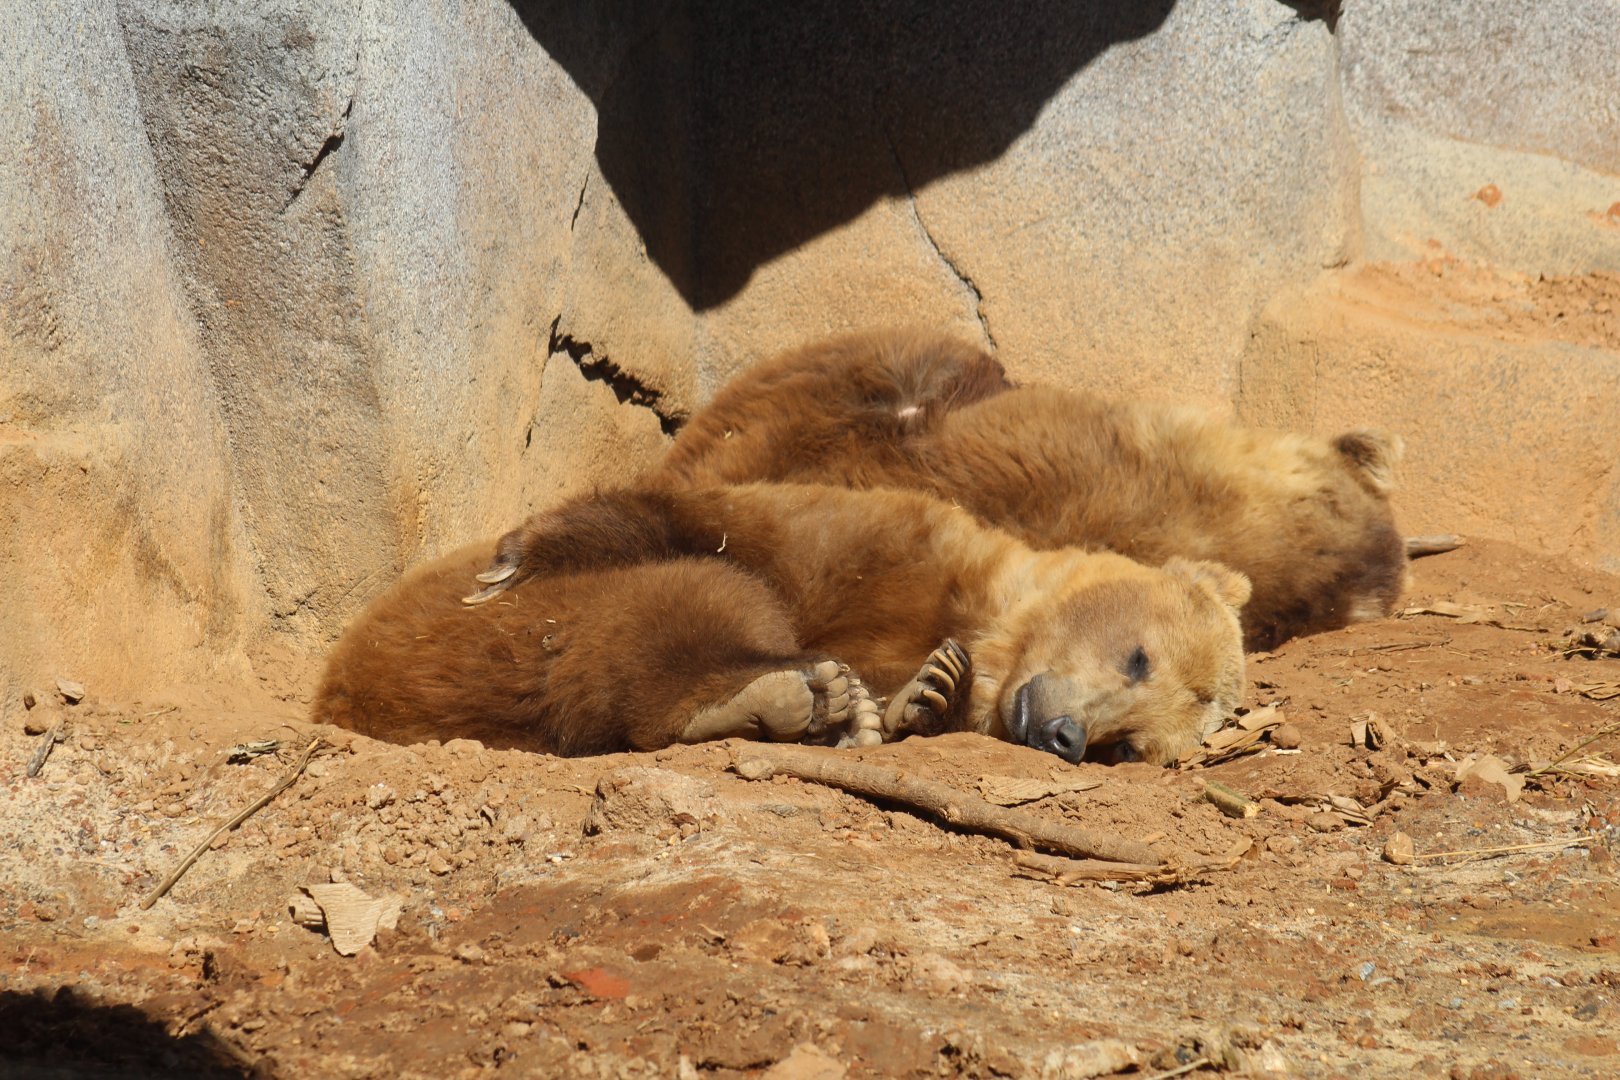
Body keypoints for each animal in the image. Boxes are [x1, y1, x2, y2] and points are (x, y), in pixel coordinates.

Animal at [449, 482, 1251, 765]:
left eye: (1132, 747)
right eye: (1140, 658)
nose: (1068, 737)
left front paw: (928, 691)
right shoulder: (876, 549)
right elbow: (722, 527)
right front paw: (516, 560)